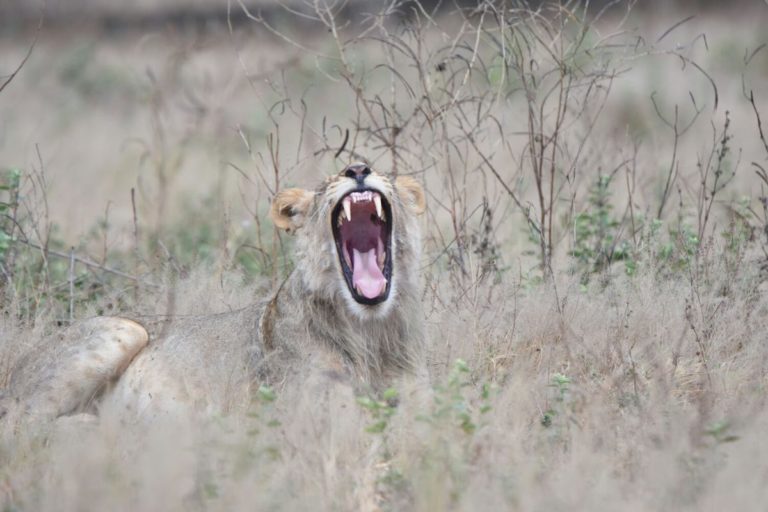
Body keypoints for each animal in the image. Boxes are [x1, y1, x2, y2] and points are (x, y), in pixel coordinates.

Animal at [1, 163, 426, 420]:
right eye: (327, 184)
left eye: (380, 171)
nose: (358, 169)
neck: (368, 330)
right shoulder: (311, 410)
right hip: (125, 330)